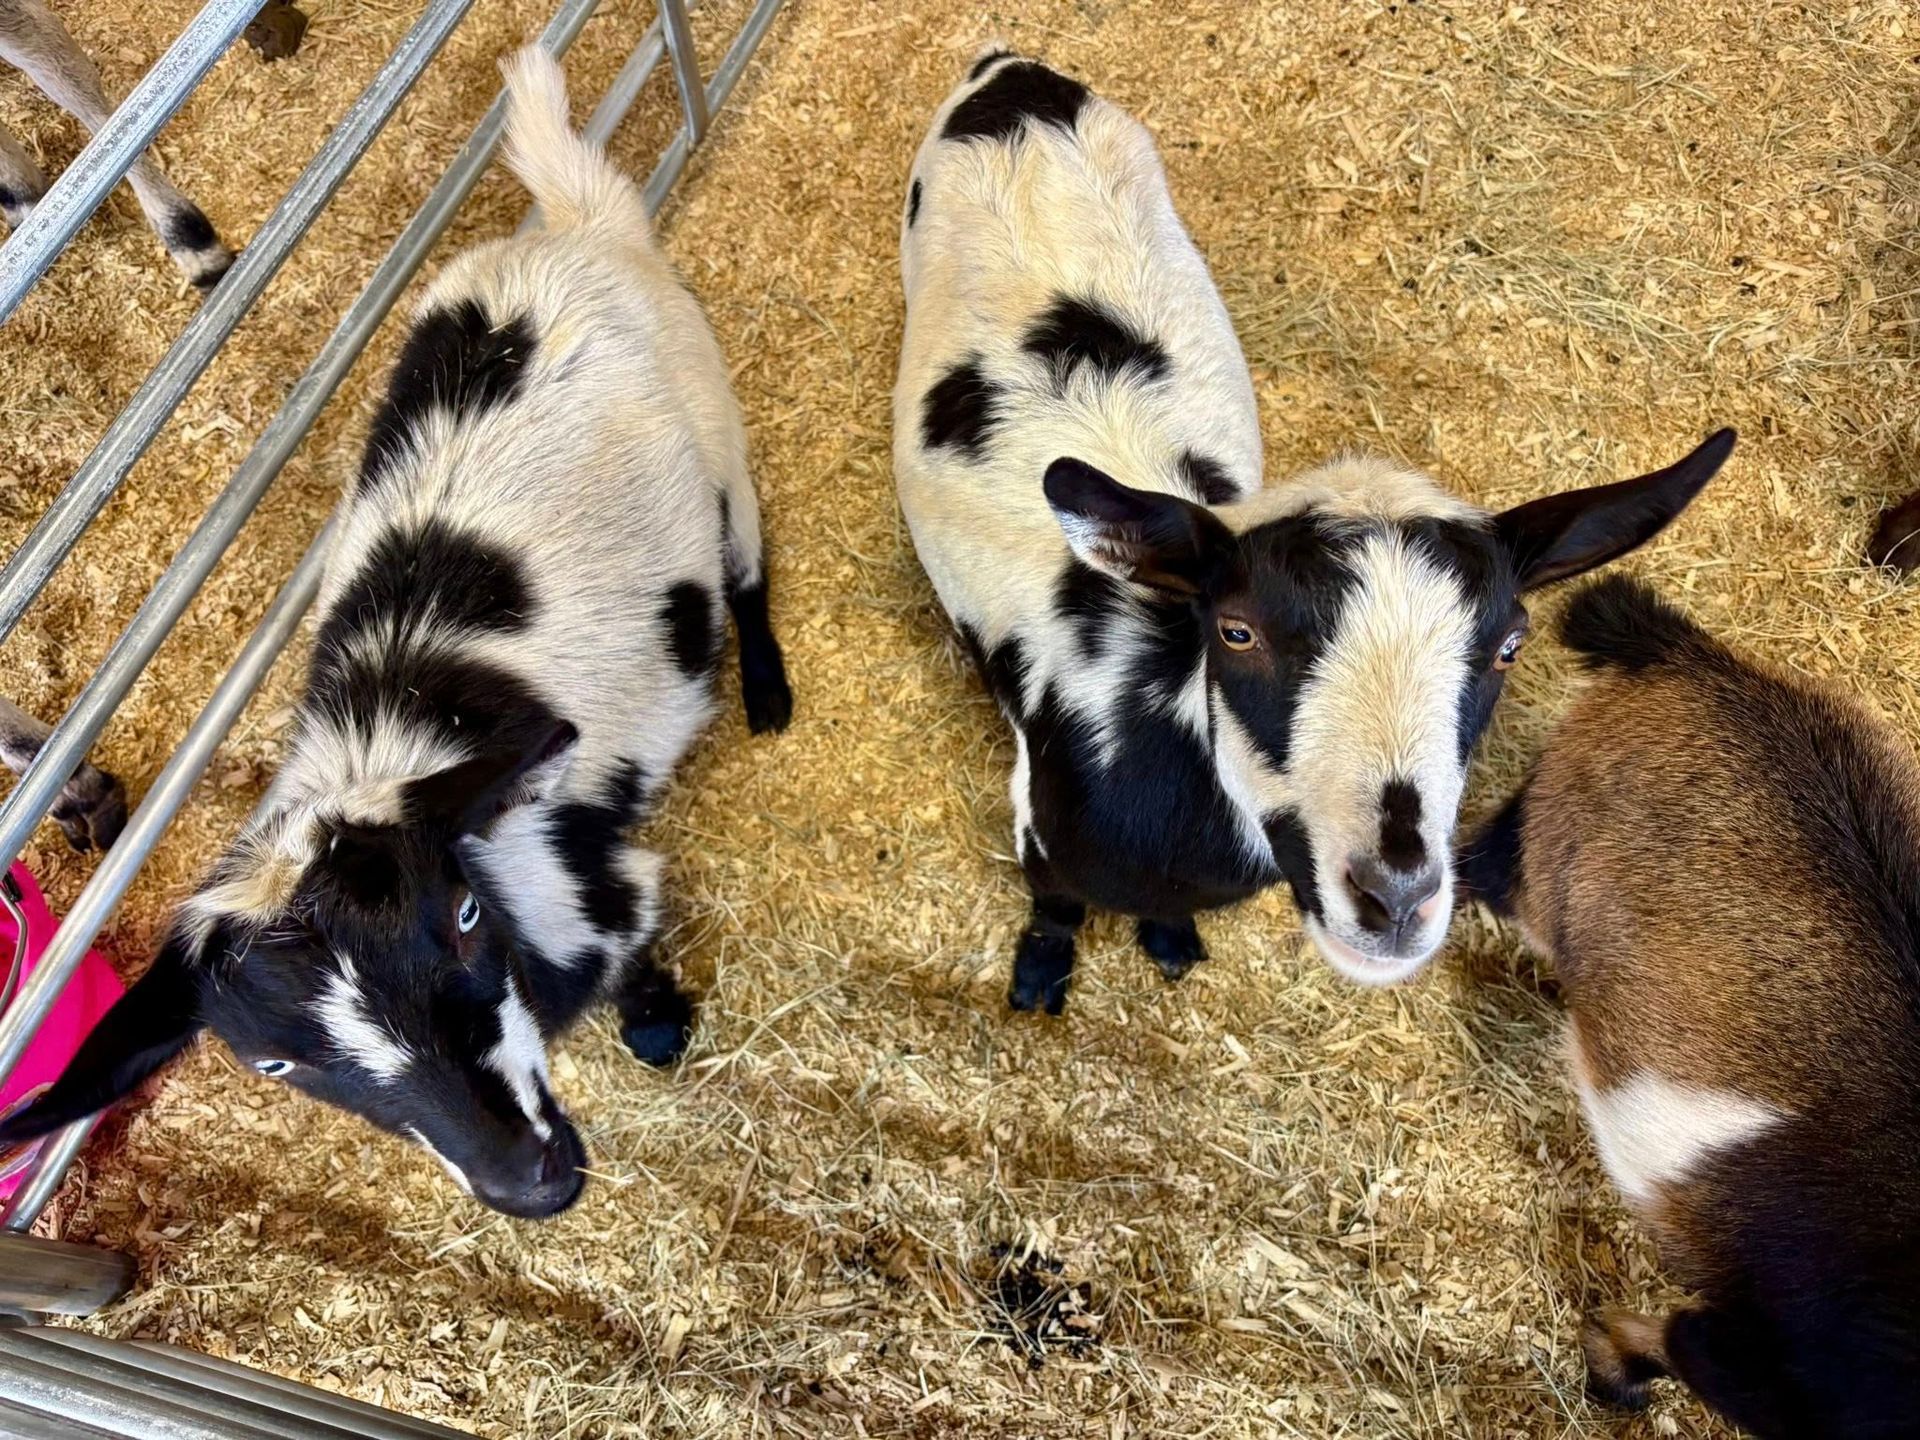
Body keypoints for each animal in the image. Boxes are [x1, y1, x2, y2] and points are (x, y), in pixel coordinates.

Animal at [0, 45, 793, 1220]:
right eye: (275, 1060)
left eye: (462, 918)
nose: (529, 1185)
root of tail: (574, 227)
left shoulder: (590, 888)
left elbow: (632, 955)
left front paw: (656, 1020)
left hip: (718, 431)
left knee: (745, 568)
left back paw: (769, 692)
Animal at [893, 47, 1734, 1014]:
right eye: (1236, 631)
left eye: (1509, 645)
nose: (1394, 899)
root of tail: (1016, 77)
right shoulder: (1036, 822)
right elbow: (1056, 905)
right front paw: (1040, 974)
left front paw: (1170, 940)